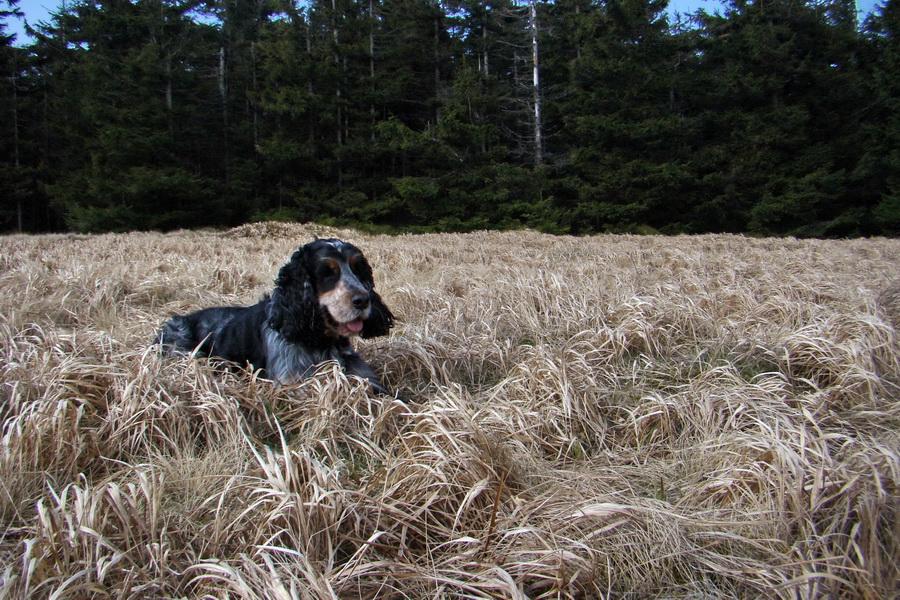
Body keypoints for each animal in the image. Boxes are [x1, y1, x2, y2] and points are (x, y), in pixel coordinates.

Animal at [156, 239, 396, 394]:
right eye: (327, 273)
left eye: (358, 270)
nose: (363, 300)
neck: (318, 340)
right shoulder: (293, 384)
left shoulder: (365, 377)